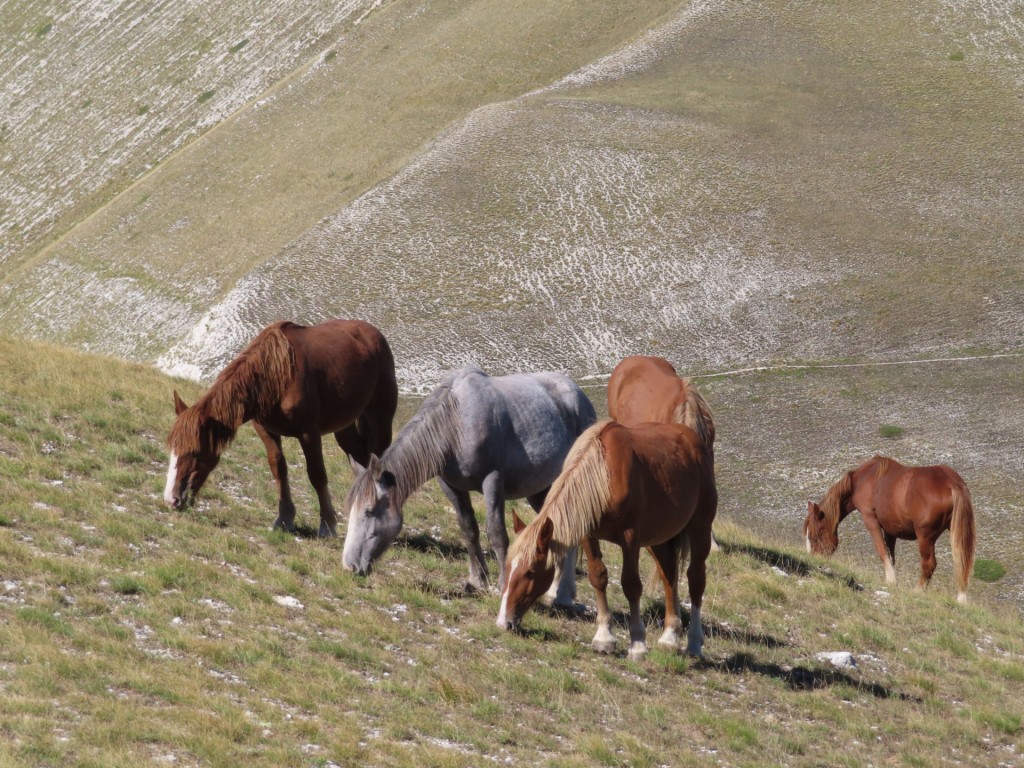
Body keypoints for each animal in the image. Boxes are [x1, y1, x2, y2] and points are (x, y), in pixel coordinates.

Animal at [163, 317, 395, 536]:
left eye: (194, 452)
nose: (171, 499)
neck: (277, 375)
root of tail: (374, 335)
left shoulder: (309, 433)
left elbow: (317, 475)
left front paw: (327, 525)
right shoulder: (266, 431)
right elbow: (278, 469)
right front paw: (284, 520)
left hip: (380, 417)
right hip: (343, 427)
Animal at [339, 370, 598, 598]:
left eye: (369, 511)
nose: (349, 566)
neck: (456, 424)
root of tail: (579, 395)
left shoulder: (493, 481)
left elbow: (496, 534)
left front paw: (502, 585)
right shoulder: (452, 486)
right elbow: (468, 529)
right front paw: (477, 581)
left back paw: (561, 593)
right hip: (540, 491)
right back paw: (556, 591)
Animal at [493, 421, 716, 663]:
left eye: (530, 572)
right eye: (507, 566)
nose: (503, 622)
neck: (605, 475)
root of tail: (693, 439)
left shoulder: (630, 539)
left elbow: (631, 586)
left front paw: (637, 645)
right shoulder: (588, 535)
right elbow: (597, 577)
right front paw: (604, 638)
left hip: (700, 529)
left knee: (695, 581)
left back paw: (694, 644)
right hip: (658, 538)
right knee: (669, 577)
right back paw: (669, 637)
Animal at [802, 454, 978, 606]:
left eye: (815, 535)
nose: (813, 559)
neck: (863, 479)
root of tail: (952, 484)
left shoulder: (870, 519)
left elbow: (882, 551)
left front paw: (890, 580)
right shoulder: (890, 530)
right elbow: (891, 554)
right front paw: (893, 580)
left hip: (925, 537)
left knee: (929, 564)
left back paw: (918, 590)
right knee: (962, 561)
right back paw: (961, 598)